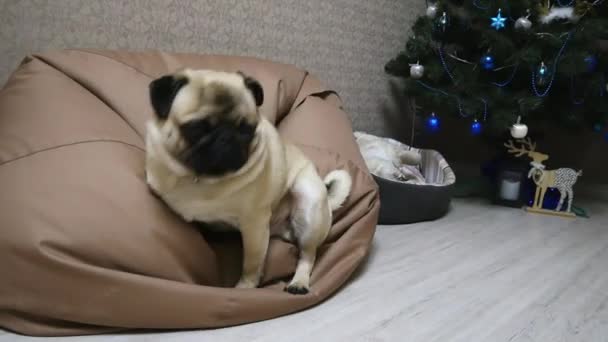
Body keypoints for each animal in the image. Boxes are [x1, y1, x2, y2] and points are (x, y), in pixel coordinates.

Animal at [144, 69, 352, 294]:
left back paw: (299, 282)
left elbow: (251, 263)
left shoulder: (254, 226)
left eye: (246, 129)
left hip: (308, 204)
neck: (204, 179)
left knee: (307, 255)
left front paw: (245, 287)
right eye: (197, 128)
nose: (226, 137)